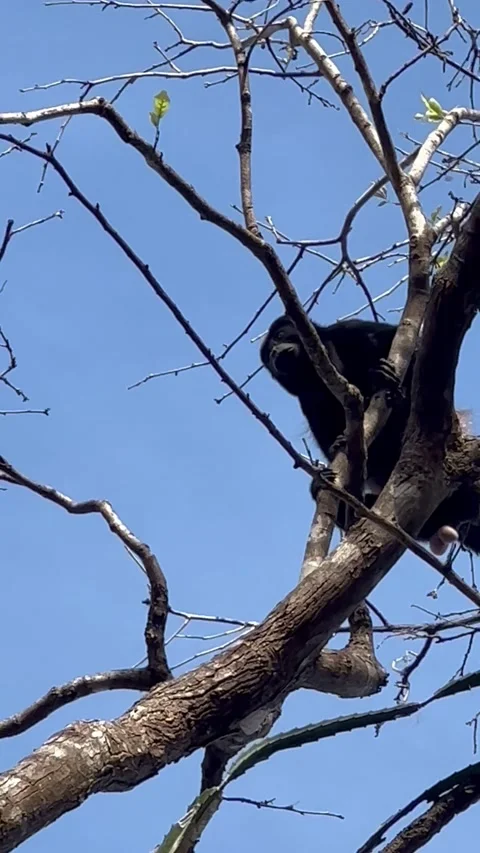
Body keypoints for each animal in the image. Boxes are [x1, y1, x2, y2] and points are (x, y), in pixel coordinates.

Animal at [260, 313, 480, 556]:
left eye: (280, 336)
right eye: (268, 357)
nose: (274, 352)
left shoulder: (350, 329)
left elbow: (416, 350)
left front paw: (384, 377)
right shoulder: (306, 398)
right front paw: (338, 447)